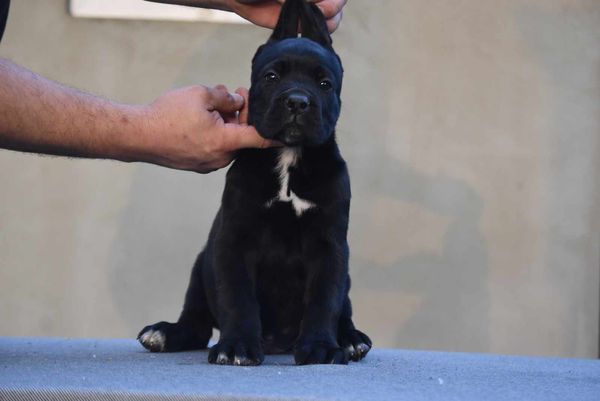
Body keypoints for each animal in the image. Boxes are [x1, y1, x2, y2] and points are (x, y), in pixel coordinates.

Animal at [138, 0, 370, 364]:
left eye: (324, 84)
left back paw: (349, 338)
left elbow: (325, 299)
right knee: (197, 323)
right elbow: (238, 298)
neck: (289, 156)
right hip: (201, 265)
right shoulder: (234, 241)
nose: (297, 101)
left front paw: (320, 346)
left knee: (342, 306)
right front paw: (237, 346)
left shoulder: (330, 246)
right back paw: (165, 333)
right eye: (271, 77)